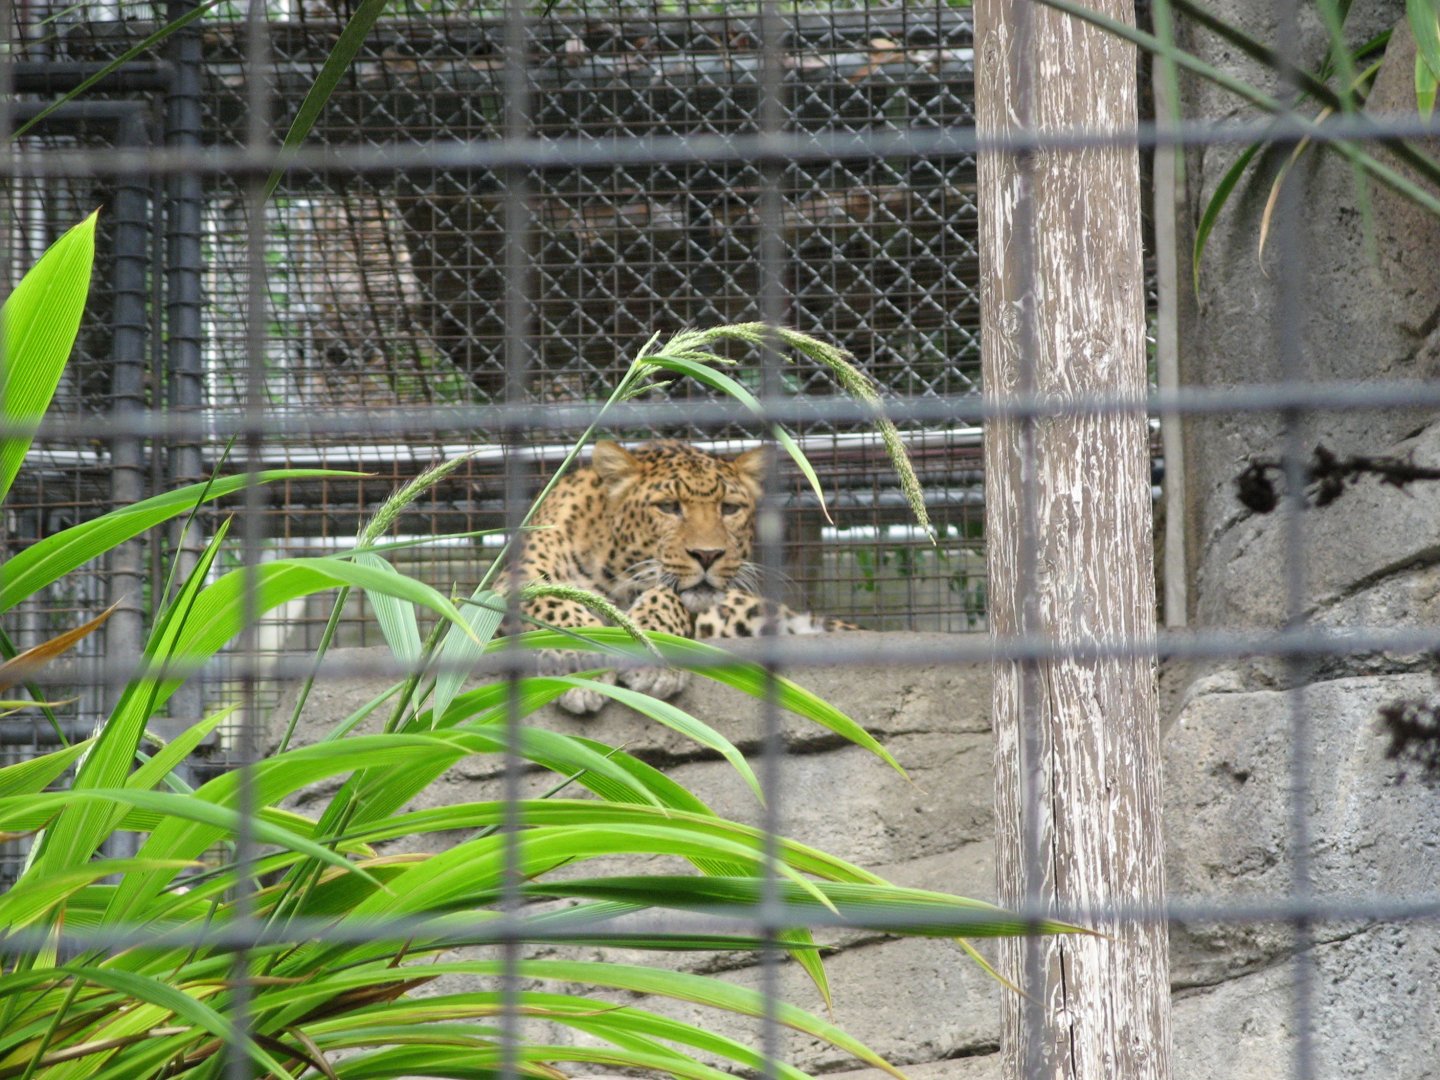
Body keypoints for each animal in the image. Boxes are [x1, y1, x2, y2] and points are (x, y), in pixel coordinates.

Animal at [514, 440, 854, 714]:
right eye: (668, 506)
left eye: (729, 508)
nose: (707, 555)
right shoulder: (519, 574)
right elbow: (550, 600)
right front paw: (579, 661)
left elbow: (667, 595)